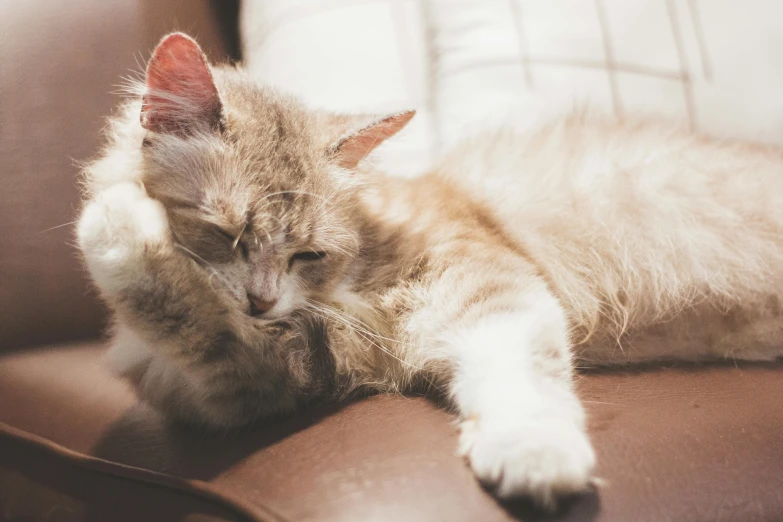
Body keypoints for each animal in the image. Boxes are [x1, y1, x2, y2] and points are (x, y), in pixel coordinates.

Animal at [76, 33, 783, 508]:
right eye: (226, 235)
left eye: (307, 254)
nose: (261, 302)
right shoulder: (254, 383)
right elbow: (197, 327)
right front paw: (127, 237)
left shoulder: (482, 279)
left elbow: (520, 368)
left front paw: (533, 454)